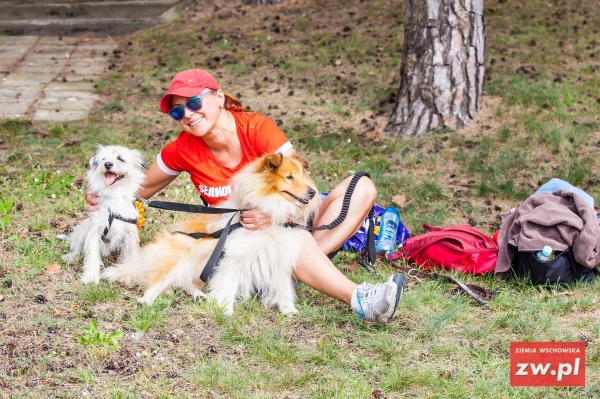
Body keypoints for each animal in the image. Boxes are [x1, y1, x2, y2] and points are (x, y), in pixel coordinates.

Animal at [60, 145, 148, 286]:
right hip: (82, 231)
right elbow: (91, 254)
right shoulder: (95, 231)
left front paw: (131, 274)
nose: (107, 164)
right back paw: (71, 256)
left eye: (120, 159)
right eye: (103, 159)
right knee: (78, 248)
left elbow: (133, 255)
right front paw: (91, 276)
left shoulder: (130, 234)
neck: (114, 195)